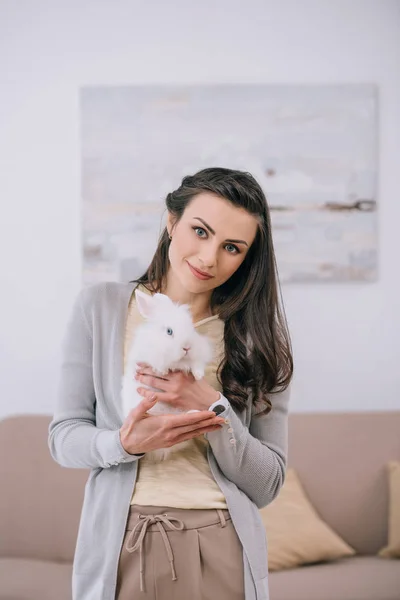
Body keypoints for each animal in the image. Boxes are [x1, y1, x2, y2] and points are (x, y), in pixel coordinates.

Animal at [121, 288, 214, 462]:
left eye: (191, 328)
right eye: (169, 331)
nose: (187, 347)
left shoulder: (197, 356)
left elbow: (196, 365)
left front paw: (198, 375)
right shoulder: (148, 356)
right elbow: (158, 363)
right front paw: (163, 371)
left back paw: (194, 413)